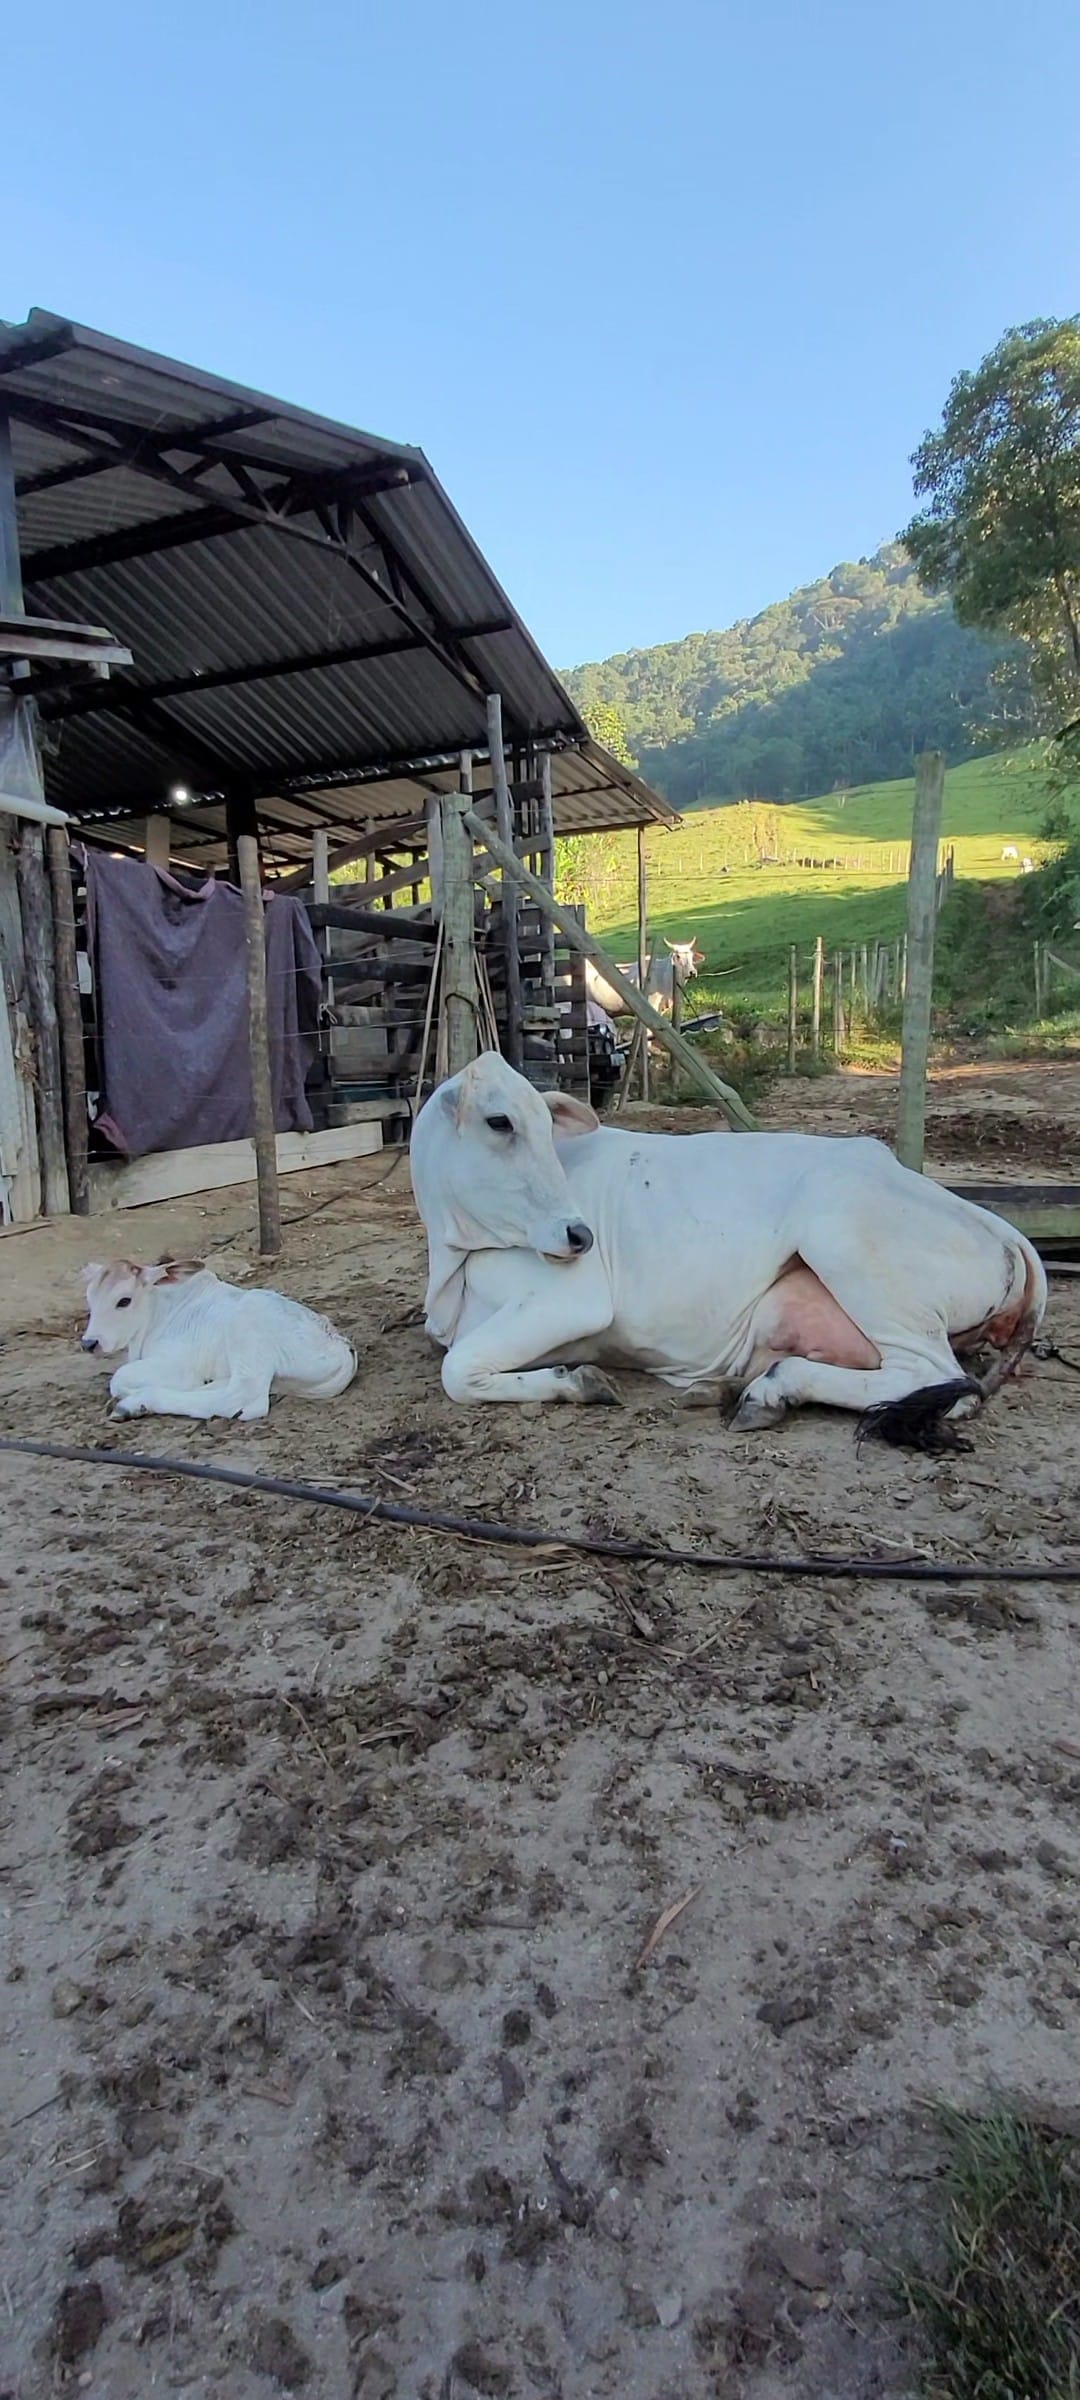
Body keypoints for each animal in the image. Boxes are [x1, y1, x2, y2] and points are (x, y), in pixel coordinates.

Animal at [82, 1257, 357, 1420]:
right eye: (90, 1298)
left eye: (124, 1301)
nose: (89, 1343)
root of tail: (342, 1345)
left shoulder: (177, 1365)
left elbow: (118, 1379)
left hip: (251, 1325)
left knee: (240, 1398)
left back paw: (134, 1404)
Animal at [410, 1056, 1046, 1440]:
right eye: (499, 1122)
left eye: (546, 1126)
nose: (580, 1235)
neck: (453, 1260)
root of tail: (1002, 1227)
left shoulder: (574, 1300)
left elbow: (457, 1371)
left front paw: (578, 1382)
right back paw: (727, 1388)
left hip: (849, 1245)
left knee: (930, 1374)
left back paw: (772, 1391)